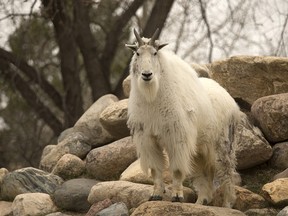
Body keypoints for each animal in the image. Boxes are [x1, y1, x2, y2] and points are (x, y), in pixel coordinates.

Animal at [126, 29, 241, 208]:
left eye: (155, 53)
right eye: (137, 53)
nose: (147, 75)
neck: (153, 96)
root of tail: (230, 100)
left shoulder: (177, 138)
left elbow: (177, 170)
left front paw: (177, 197)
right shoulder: (148, 139)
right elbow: (155, 170)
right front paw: (155, 195)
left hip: (223, 145)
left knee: (227, 172)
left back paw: (227, 204)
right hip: (200, 148)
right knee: (205, 173)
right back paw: (201, 201)